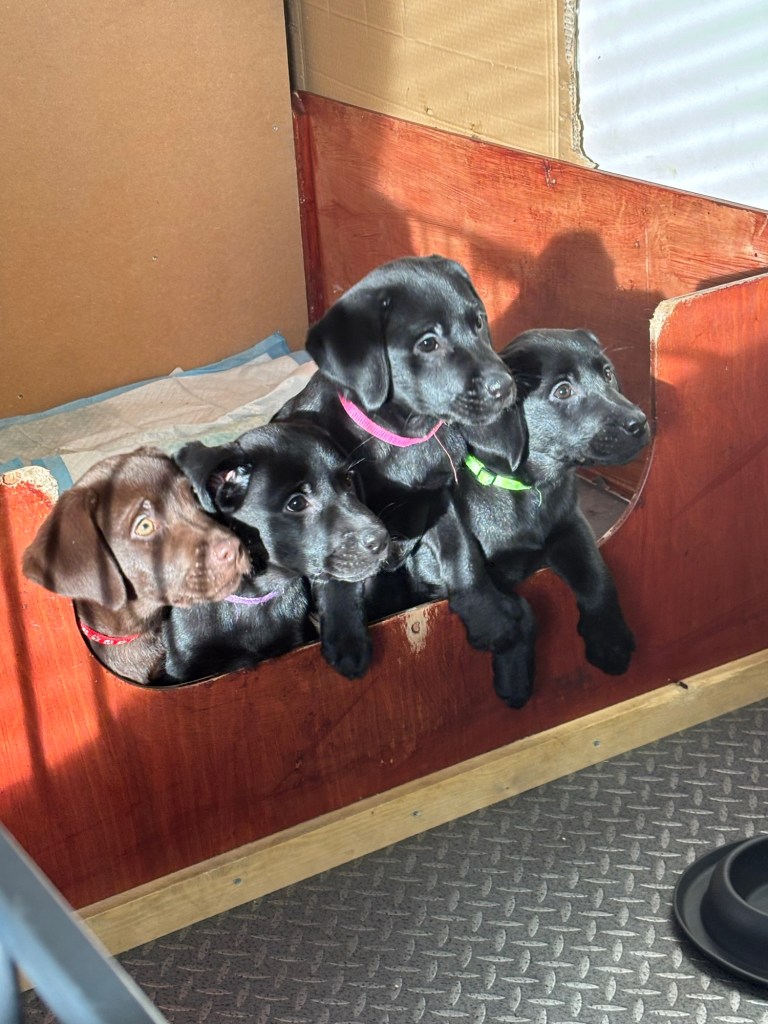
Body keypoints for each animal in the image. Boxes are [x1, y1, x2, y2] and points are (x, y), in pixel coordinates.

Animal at [275, 254, 533, 674]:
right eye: (428, 343)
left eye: (479, 322)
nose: (506, 386)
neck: (404, 437)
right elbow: (337, 573)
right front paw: (346, 637)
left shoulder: (439, 499)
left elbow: (464, 556)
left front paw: (489, 615)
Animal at [453, 327, 651, 706]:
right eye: (562, 391)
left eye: (607, 373)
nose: (639, 423)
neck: (528, 490)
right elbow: (516, 609)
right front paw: (515, 682)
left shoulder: (571, 526)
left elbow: (598, 577)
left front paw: (611, 644)